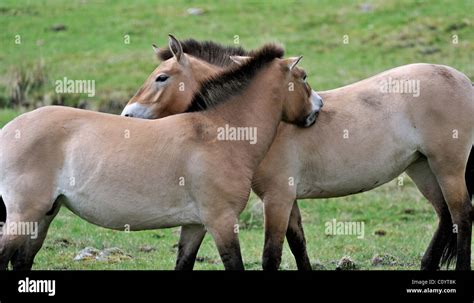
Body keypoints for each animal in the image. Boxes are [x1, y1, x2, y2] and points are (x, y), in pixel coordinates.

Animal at [0, 39, 320, 270]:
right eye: (304, 77)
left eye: (161, 77)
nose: (317, 108)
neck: (219, 131)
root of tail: (9, 129)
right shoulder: (222, 221)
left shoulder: (194, 225)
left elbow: (183, 263)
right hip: (23, 216)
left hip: (43, 216)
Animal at [124, 36, 472, 272]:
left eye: (161, 77)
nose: (127, 115)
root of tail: (462, 79)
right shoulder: (286, 198)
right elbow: (298, 245)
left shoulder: (277, 197)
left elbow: (272, 255)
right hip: (422, 168)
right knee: (445, 217)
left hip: (447, 167)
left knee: (461, 215)